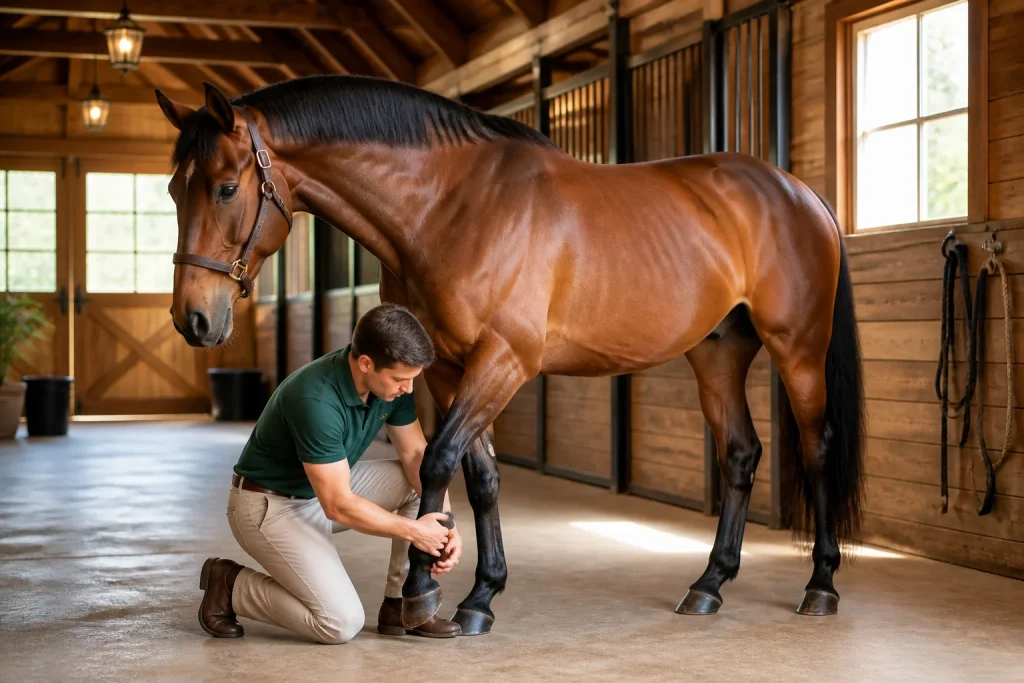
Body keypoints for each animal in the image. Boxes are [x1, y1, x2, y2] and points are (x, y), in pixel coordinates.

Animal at [158, 74, 864, 635]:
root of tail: (799, 193)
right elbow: (480, 476)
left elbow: (440, 460)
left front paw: (424, 590)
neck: (449, 206)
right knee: (740, 454)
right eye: (170, 190)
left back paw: (822, 587)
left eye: (225, 188)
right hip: (717, 354)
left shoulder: (503, 361)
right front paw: (480, 595)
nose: (194, 319)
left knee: (816, 447)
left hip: (798, 349)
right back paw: (709, 585)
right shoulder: (447, 368)